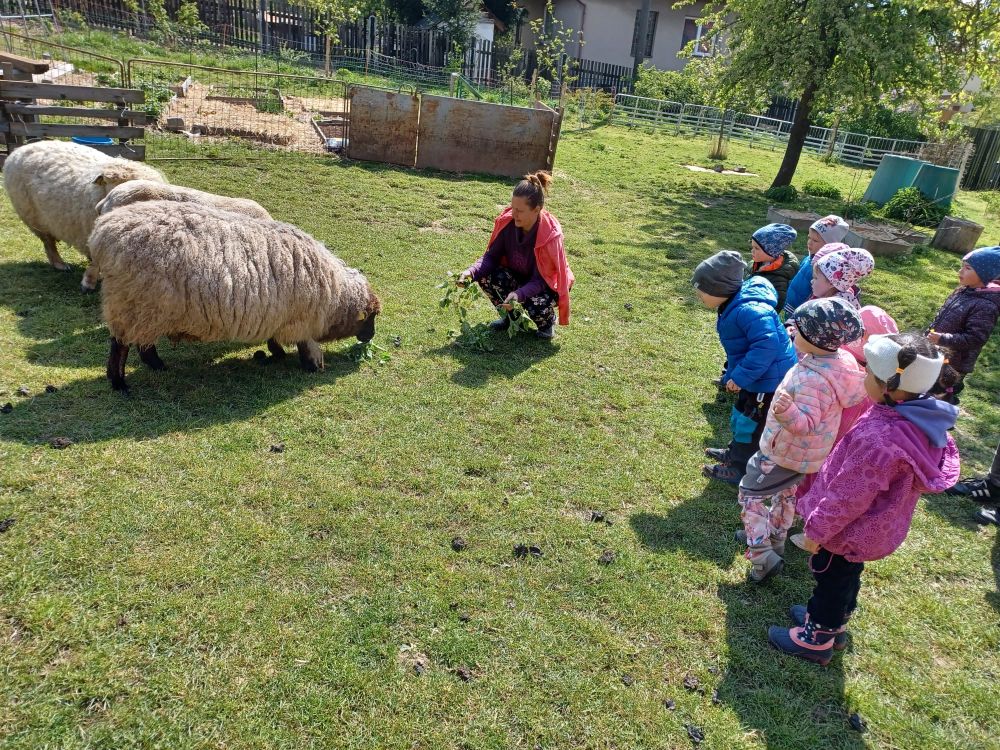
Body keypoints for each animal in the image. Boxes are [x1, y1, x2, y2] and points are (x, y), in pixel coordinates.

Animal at [2, 140, 167, 292]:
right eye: (111, 189)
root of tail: (22, 148)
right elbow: (94, 262)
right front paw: (89, 282)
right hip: (33, 217)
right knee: (48, 242)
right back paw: (60, 265)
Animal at [88, 201, 381, 392]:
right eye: (370, 317)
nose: (370, 337)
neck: (336, 295)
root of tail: (103, 233)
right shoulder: (300, 319)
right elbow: (307, 344)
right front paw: (313, 365)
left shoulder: (278, 316)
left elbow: (275, 339)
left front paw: (276, 353)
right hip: (135, 303)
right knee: (121, 345)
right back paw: (120, 382)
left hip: (147, 308)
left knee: (142, 342)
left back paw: (156, 366)